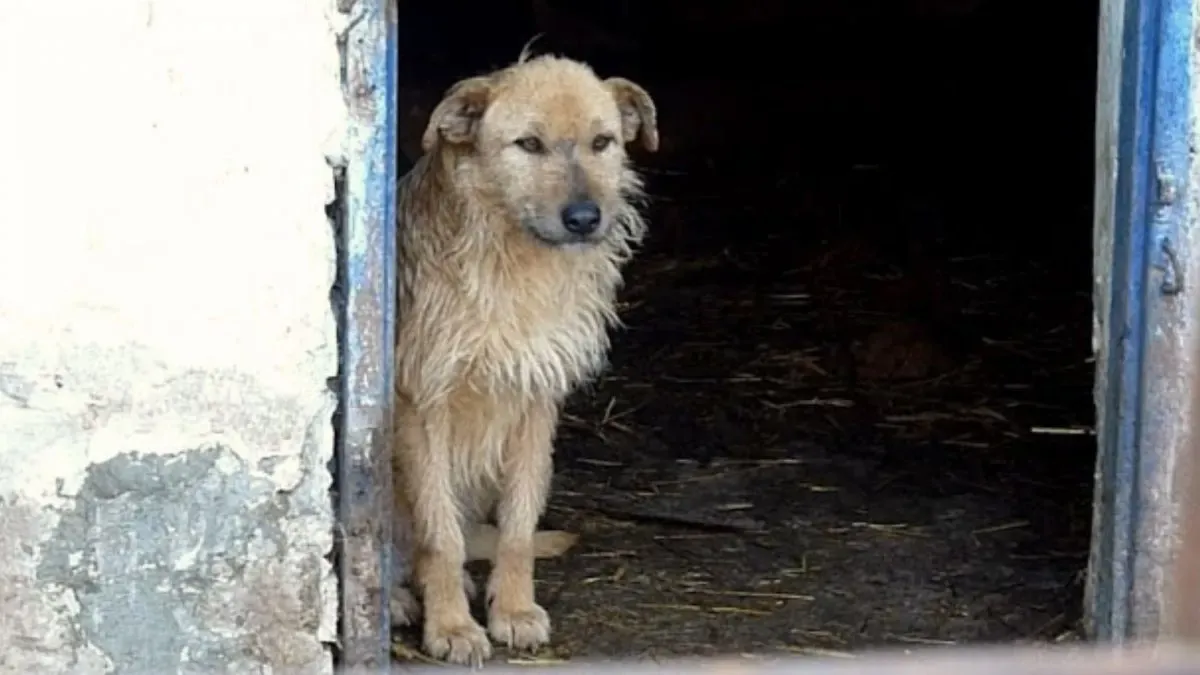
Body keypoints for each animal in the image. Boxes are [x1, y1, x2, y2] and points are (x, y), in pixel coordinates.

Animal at [391, 51, 657, 662]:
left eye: (603, 141)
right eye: (529, 144)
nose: (584, 218)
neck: (514, 261)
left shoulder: (536, 401)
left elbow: (518, 524)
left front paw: (511, 610)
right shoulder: (423, 405)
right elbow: (439, 534)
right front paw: (451, 626)